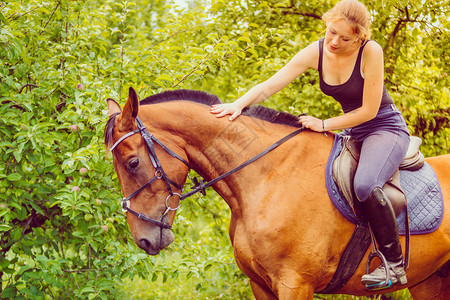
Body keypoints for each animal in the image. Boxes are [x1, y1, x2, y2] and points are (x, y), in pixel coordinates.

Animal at [105, 87, 450, 300]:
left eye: (132, 162)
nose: (144, 240)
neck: (266, 175)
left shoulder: (294, 284)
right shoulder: (261, 285)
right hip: (431, 280)